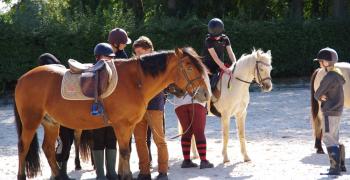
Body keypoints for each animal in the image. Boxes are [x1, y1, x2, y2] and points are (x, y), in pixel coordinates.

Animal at [14, 47, 211, 179]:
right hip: (31, 122)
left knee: (48, 149)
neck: (135, 81)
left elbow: (126, 151)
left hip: (51, 123)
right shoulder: (122, 125)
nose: (205, 94)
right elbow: (124, 152)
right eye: (189, 66)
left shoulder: (129, 126)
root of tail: (23, 78)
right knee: (23, 147)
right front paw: (126, 176)